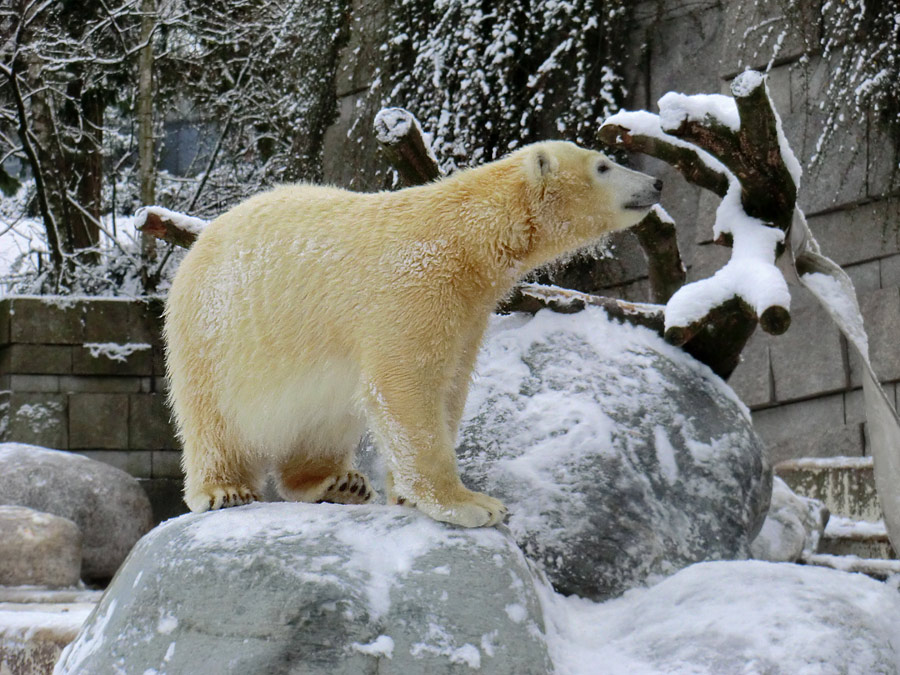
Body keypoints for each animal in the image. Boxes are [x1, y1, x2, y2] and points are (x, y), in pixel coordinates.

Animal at [167, 143, 660, 528]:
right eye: (603, 166)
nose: (655, 183)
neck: (465, 237)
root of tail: (199, 242)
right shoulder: (413, 287)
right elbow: (407, 386)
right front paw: (471, 504)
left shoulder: (468, 310)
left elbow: (452, 387)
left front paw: (405, 494)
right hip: (214, 331)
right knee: (213, 418)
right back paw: (225, 489)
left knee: (320, 419)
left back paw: (338, 482)